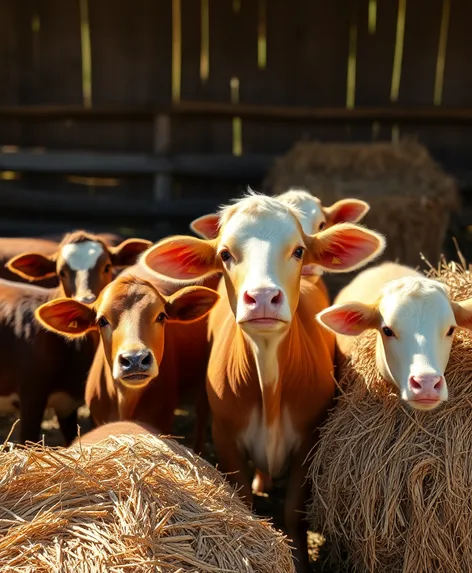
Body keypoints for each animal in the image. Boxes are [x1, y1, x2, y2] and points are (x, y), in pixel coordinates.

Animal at [139, 193, 384, 572]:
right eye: (225, 253)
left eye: (298, 250)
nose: (264, 296)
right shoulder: (226, 437)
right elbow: (245, 501)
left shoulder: (309, 440)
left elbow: (293, 511)